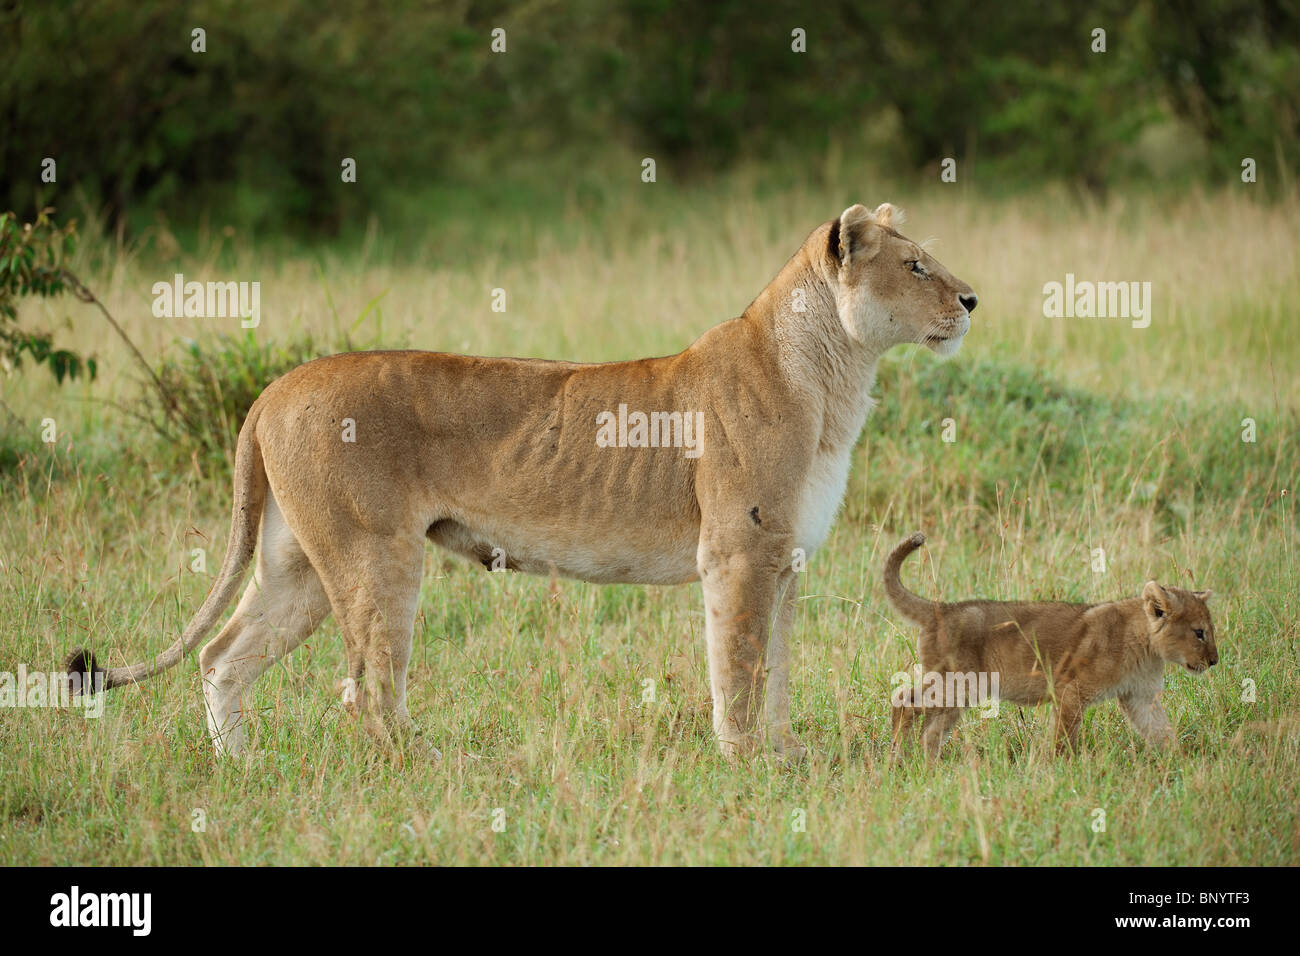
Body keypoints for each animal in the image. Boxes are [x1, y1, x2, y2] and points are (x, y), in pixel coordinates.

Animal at [63, 202, 978, 763]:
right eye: (916, 266)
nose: (971, 298)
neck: (836, 378)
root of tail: (273, 388)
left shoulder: (784, 560)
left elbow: (779, 667)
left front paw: (784, 757)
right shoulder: (737, 553)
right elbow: (742, 669)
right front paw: (745, 763)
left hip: (298, 565)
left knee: (223, 655)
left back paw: (243, 770)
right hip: (374, 555)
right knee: (368, 688)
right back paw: (426, 767)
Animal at [884, 532, 1219, 758]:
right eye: (1199, 633)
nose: (1215, 661)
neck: (1146, 647)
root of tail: (939, 609)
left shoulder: (1139, 696)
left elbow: (1162, 731)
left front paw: (1182, 766)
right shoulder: (1071, 691)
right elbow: (1063, 738)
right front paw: (1060, 770)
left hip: (961, 693)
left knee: (931, 730)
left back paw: (928, 767)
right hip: (959, 684)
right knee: (904, 701)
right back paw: (898, 759)